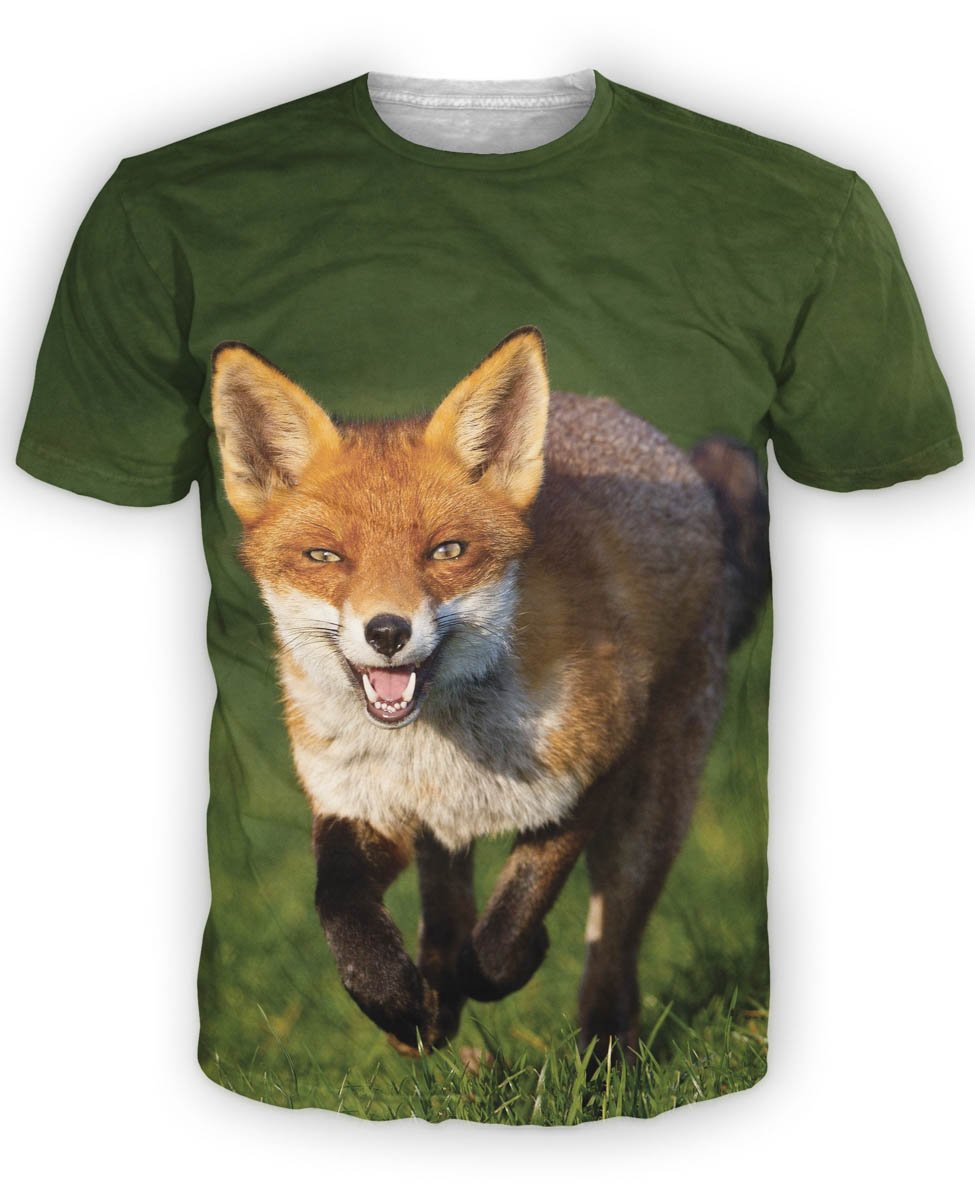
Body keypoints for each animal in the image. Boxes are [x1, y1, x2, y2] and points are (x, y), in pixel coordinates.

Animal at [210, 326, 770, 1059]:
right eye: (324, 558)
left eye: (447, 551)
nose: (386, 631)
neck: (435, 748)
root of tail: (635, 427)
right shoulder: (358, 803)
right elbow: (340, 908)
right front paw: (394, 1003)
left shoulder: (590, 776)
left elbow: (509, 926)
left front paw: (518, 957)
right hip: (444, 834)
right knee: (445, 909)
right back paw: (436, 1004)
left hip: (652, 810)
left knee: (613, 942)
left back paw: (604, 1051)